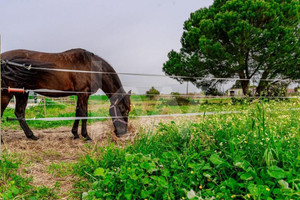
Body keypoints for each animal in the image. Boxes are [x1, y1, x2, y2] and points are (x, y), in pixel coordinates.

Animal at [0, 48, 131, 141]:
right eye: (123, 110)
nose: (123, 132)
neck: (91, 67)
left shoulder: (80, 95)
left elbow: (78, 113)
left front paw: (75, 134)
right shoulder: (83, 94)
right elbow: (84, 114)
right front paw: (86, 136)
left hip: (21, 93)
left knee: (19, 113)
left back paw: (31, 135)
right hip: (6, 94)